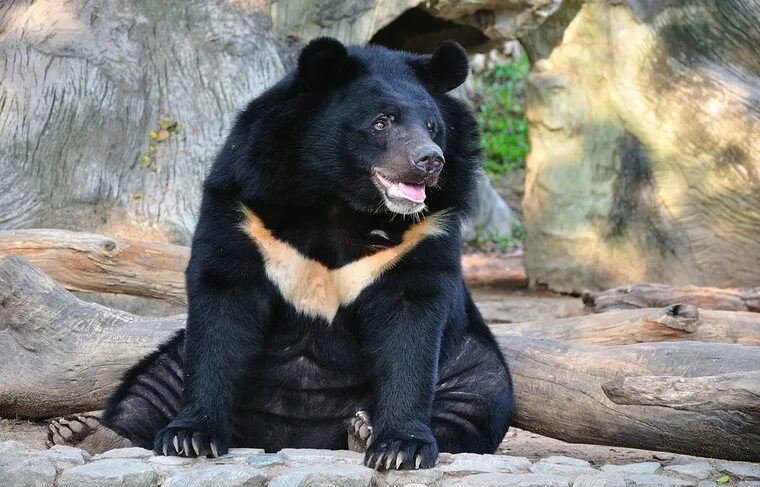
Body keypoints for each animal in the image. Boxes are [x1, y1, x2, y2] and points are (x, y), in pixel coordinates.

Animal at [49, 37, 516, 468]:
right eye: (382, 122)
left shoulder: (425, 228)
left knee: (480, 394)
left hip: (467, 359)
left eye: (434, 127)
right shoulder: (244, 206)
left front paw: (400, 449)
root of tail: (291, 437)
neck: (339, 200)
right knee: (152, 383)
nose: (429, 161)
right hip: (176, 358)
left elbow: (411, 323)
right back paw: (87, 432)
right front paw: (190, 438)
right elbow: (222, 304)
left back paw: (362, 429)